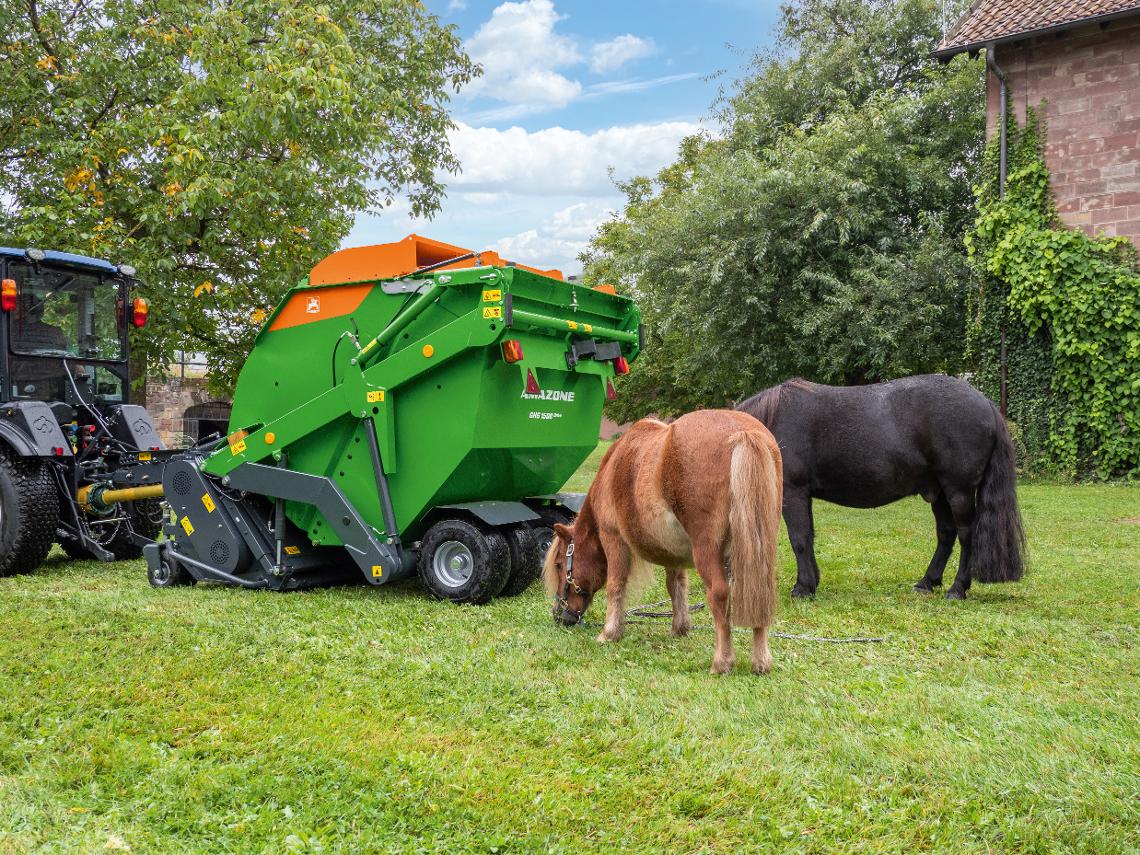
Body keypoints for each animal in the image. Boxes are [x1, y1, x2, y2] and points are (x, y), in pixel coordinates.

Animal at [543, 410, 783, 675]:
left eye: (559, 565)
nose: (560, 616)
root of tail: (742, 432)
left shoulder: (613, 538)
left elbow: (616, 585)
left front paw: (610, 633)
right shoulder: (674, 554)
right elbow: (676, 586)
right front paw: (680, 627)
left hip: (707, 550)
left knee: (719, 594)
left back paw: (722, 661)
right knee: (759, 591)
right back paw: (760, 661)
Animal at [737, 375, 1026, 600]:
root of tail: (986, 404)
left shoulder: (793, 492)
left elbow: (799, 539)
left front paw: (803, 587)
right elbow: (808, 537)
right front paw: (811, 582)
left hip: (959, 492)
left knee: (966, 535)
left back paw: (957, 589)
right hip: (940, 493)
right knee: (946, 534)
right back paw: (927, 582)